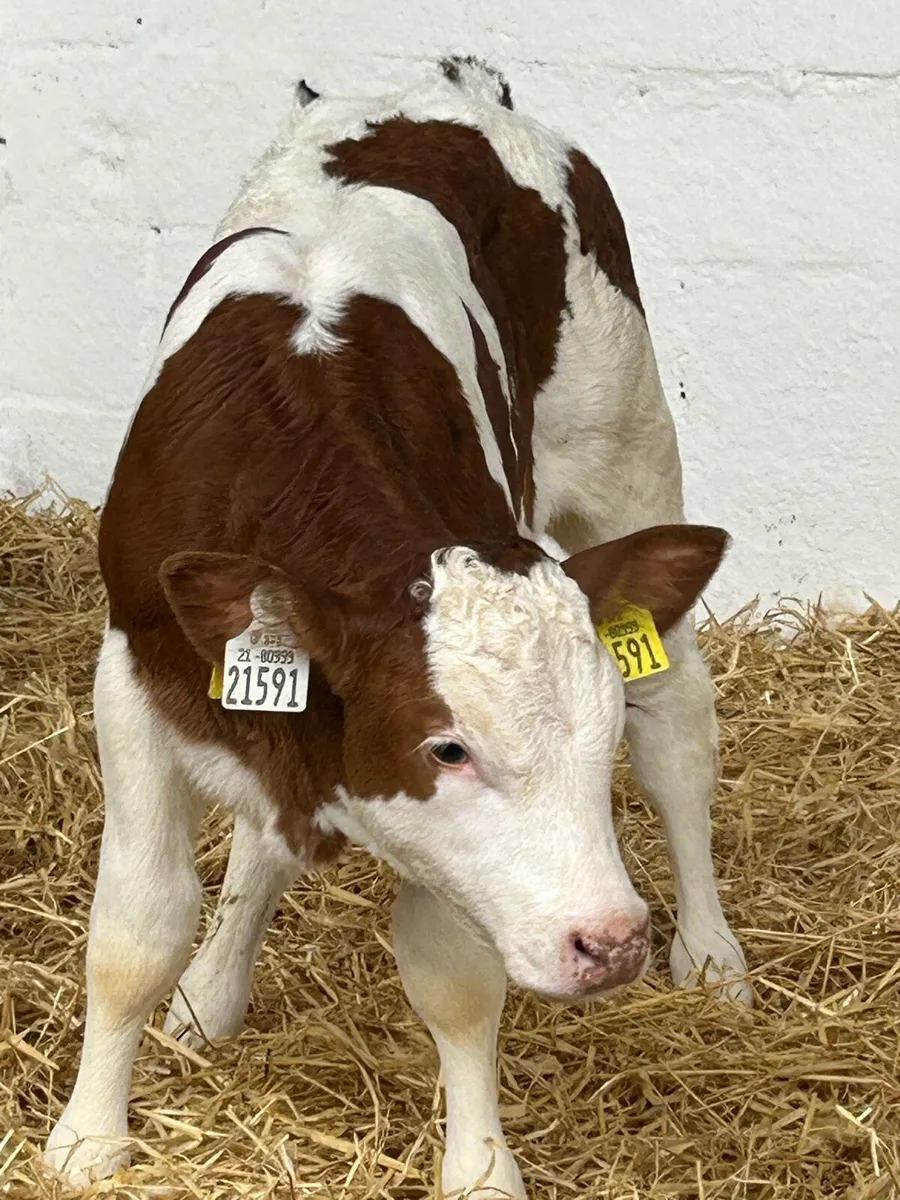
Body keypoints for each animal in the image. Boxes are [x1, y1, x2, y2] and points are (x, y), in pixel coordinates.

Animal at [43, 57, 750, 1197]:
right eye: (446, 746)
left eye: (595, 745)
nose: (610, 940)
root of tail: (454, 88)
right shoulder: (136, 678)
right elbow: (136, 930)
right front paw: (89, 1138)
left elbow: (456, 978)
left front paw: (479, 1167)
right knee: (257, 844)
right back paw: (213, 990)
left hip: (629, 445)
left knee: (679, 718)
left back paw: (713, 955)